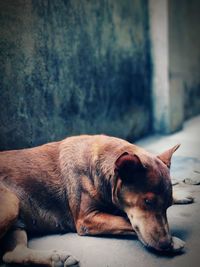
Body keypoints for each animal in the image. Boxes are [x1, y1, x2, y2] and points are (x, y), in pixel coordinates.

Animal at [0, 135, 194, 266]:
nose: (165, 243)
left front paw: (180, 194)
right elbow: (125, 221)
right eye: (148, 202)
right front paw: (174, 241)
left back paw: (56, 258)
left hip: (17, 222)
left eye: (168, 205)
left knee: (11, 254)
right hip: (11, 202)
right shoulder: (87, 219)